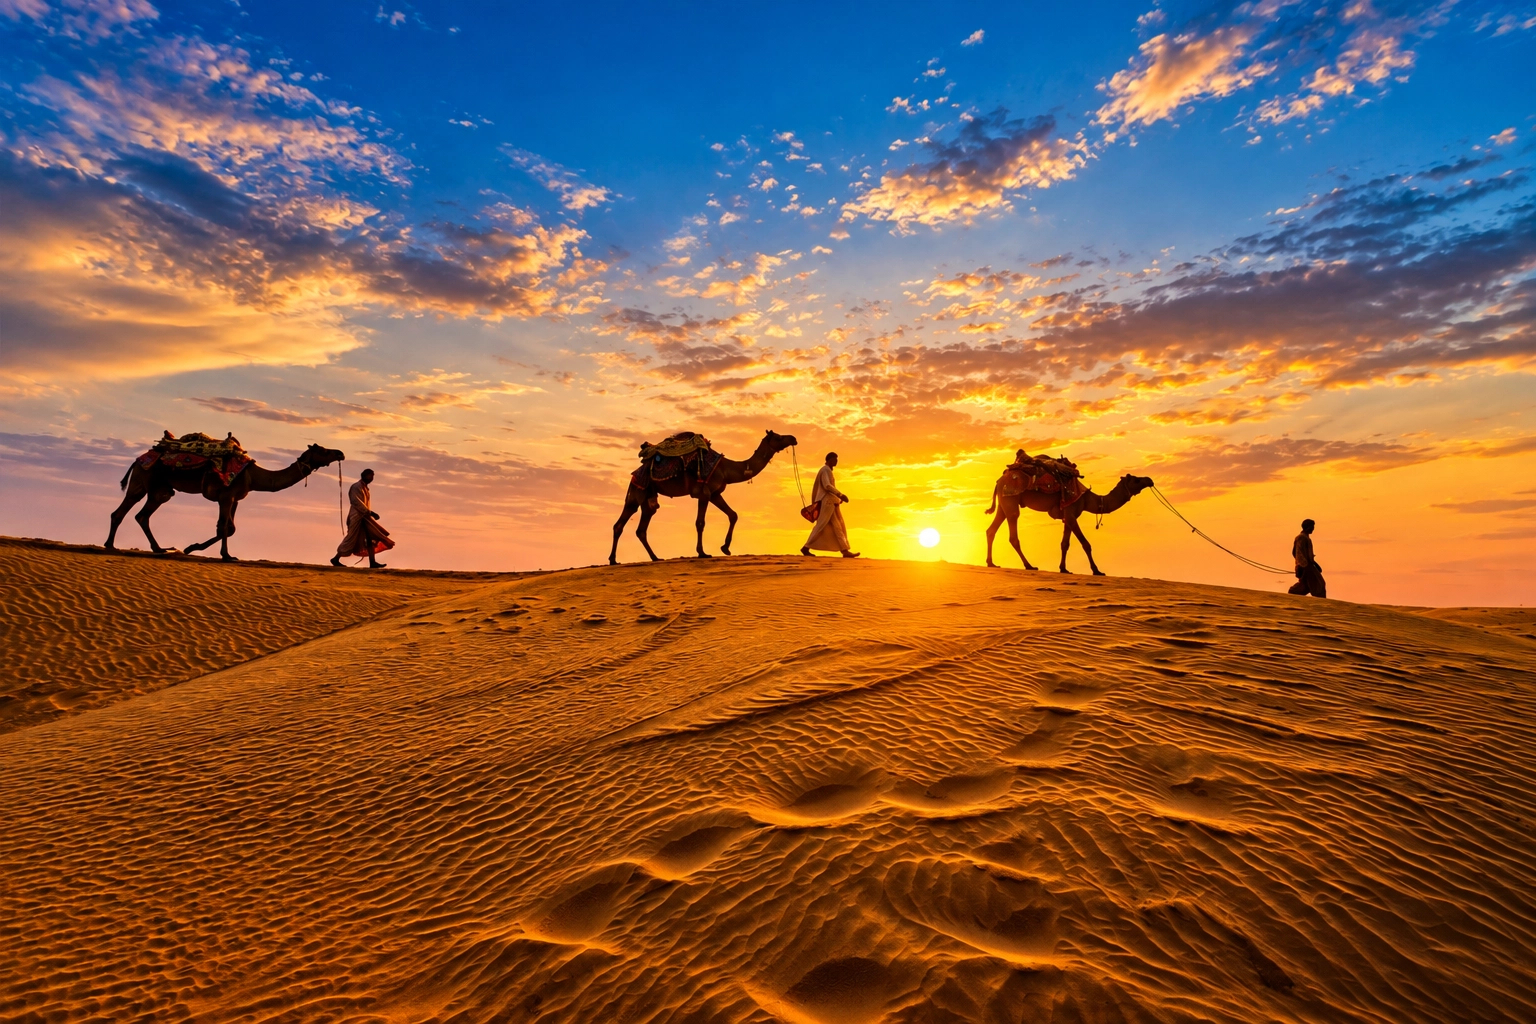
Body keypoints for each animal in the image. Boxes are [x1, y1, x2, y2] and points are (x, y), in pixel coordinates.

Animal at [107, 443, 346, 562]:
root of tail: (139, 459)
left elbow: (230, 528)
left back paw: (153, 548)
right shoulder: (226, 496)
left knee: (132, 513)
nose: (341, 453)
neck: (254, 476)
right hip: (153, 484)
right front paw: (226, 555)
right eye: (323, 451)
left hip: (146, 485)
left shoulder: (236, 498)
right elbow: (223, 527)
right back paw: (122, 546)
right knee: (135, 512)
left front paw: (191, 548)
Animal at [609, 429, 798, 564]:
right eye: (779, 436)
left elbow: (733, 515)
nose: (793, 438)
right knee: (624, 524)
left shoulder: (715, 494)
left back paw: (652, 558)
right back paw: (615, 560)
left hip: (646, 497)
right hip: (638, 491)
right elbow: (700, 523)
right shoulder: (704, 493)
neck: (726, 469)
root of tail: (635, 473)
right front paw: (702, 553)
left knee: (638, 527)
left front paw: (725, 548)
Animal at [984, 472, 1154, 575]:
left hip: (1004, 503)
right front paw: (1097, 571)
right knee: (1013, 533)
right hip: (1011, 500)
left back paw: (991, 563)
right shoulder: (1072, 514)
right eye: (1136, 479)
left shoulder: (1067, 515)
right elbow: (1086, 544)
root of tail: (998, 481)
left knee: (991, 530)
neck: (1087, 499)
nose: (1149, 479)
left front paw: (1064, 569)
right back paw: (1029, 566)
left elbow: (1064, 544)